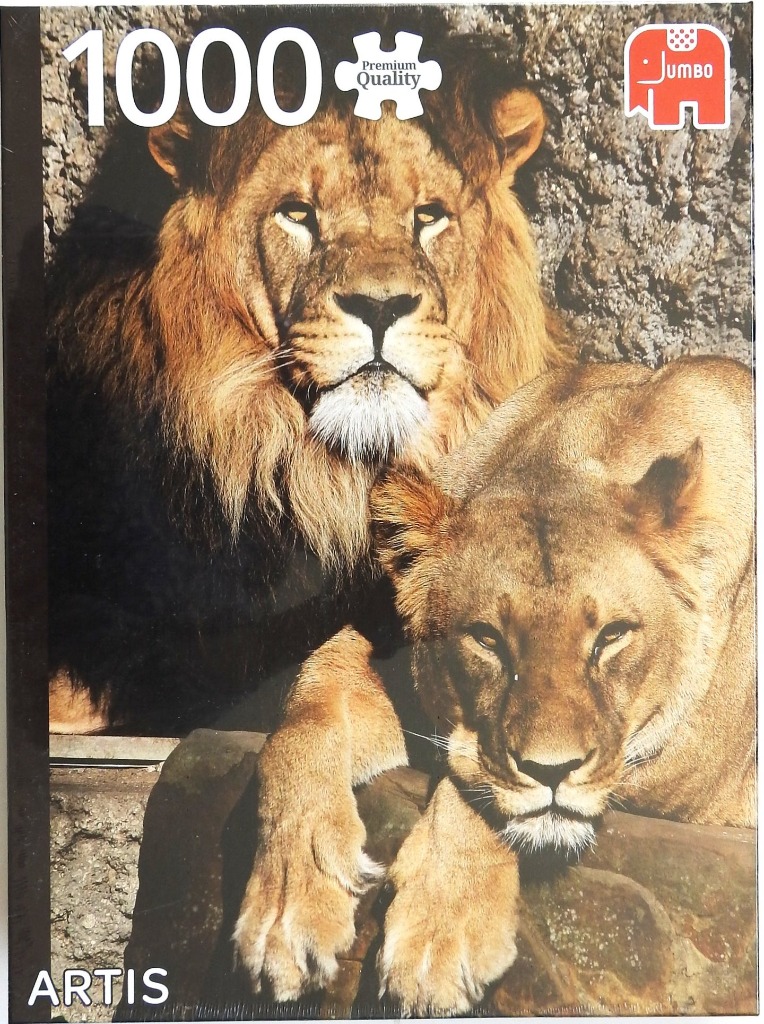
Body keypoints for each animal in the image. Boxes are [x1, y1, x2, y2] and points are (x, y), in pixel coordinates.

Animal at [360, 356, 754, 1013]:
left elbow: (471, 787)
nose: (551, 771)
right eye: (487, 639)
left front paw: (438, 936)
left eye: (612, 636)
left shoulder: (692, 775)